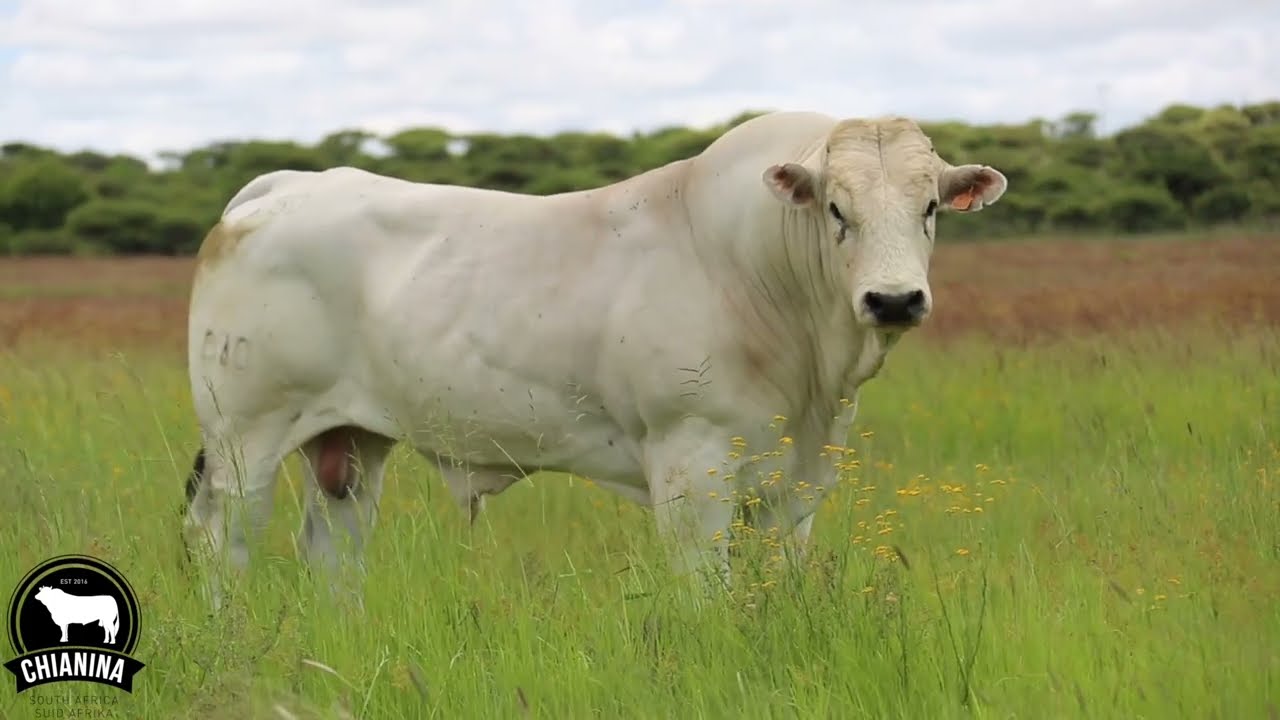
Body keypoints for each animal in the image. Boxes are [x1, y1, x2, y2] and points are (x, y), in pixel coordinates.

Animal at [181, 111, 1007, 599]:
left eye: (929, 208)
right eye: (838, 210)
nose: (894, 300)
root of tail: (283, 186)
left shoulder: (792, 483)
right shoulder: (690, 465)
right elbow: (706, 596)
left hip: (351, 444)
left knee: (333, 553)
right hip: (244, 440)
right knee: (225, 545)